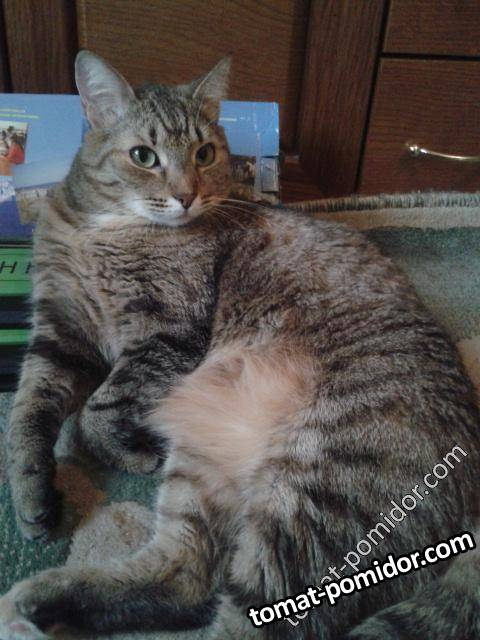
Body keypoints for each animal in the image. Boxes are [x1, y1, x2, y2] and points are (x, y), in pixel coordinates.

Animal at [1, 50, 480, 640]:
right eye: (144, 156)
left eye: (204, 153)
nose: (185, 195)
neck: (106, 229)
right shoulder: (59, 330)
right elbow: (27, 414)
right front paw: (32, 494)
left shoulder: (169, 331)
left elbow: (98, 407)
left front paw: (122, 451)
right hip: (201, 465)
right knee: (181, 577)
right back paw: (43, 599)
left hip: (314, 493)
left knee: (250, 614)